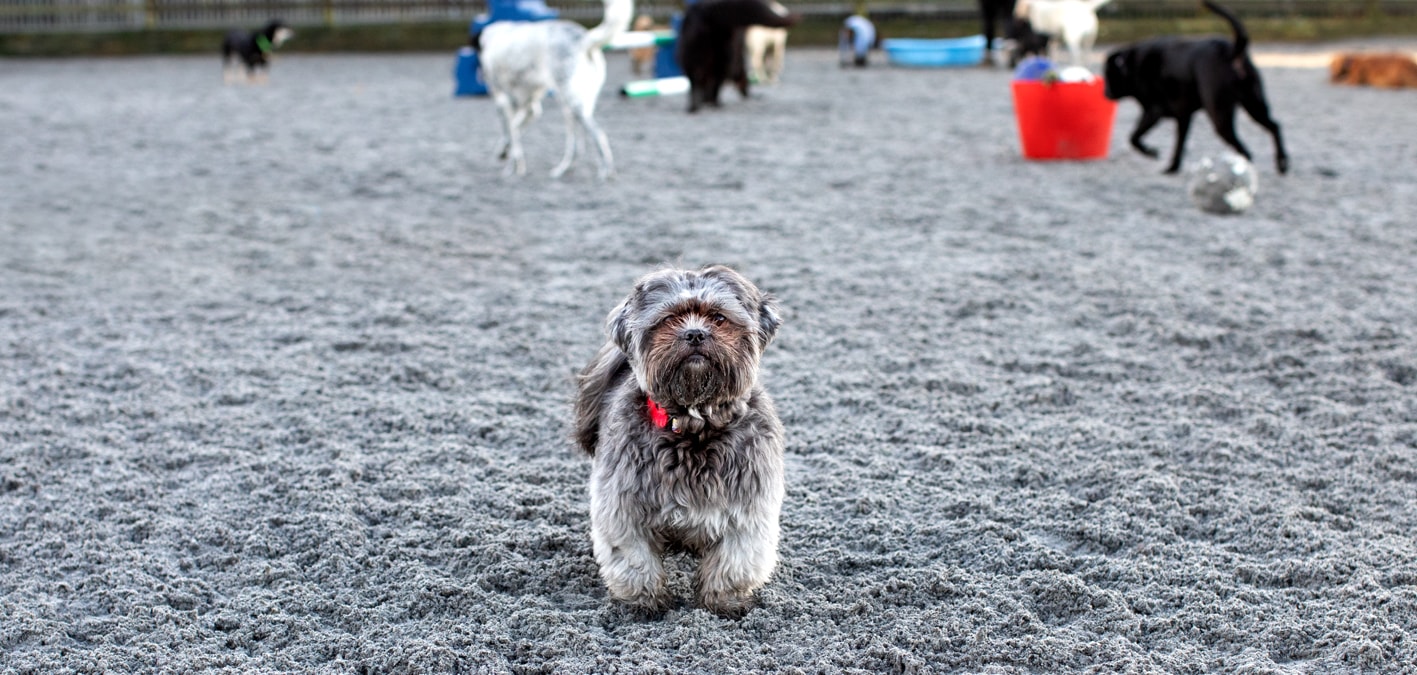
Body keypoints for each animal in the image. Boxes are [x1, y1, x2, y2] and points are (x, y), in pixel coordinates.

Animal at [476, 0, 631, 177]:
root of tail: (582, 39)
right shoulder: (530, 107)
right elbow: (514, 131)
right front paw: (506, 154)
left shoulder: (504, 101)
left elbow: (511, 132)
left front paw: (512, 166)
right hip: (569, 105)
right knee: (576, 146)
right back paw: (562, 169)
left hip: (573, 105)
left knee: (599, 136)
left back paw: (605, 171)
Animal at [572, 265, 787, 618]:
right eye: (669, 318)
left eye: (719, 318)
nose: (695, 334)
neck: (694, 424)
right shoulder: (624, 506)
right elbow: (634, 559)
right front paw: (644, 602)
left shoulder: (747, 508)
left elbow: (734, 561)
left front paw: (724, 603)